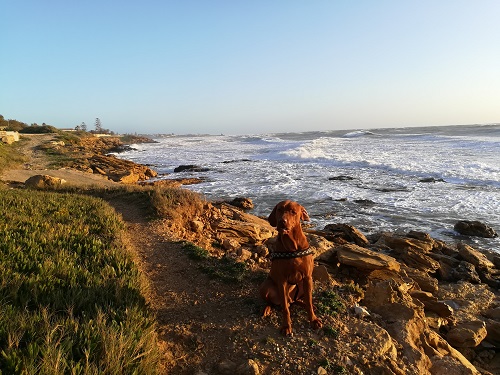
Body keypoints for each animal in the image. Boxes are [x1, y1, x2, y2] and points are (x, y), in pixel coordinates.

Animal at [260, 201, 322, 336]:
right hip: (265, 287)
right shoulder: (282, 281)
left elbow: (309, 301)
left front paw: (313, 319)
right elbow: (285, 309)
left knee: (297, 301)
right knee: (277, 302)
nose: (282, 221)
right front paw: (286, 326)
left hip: (304, 285)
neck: (292, 246)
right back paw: (267, 309)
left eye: (293, 212)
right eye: (279, 209)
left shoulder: (307, 277)